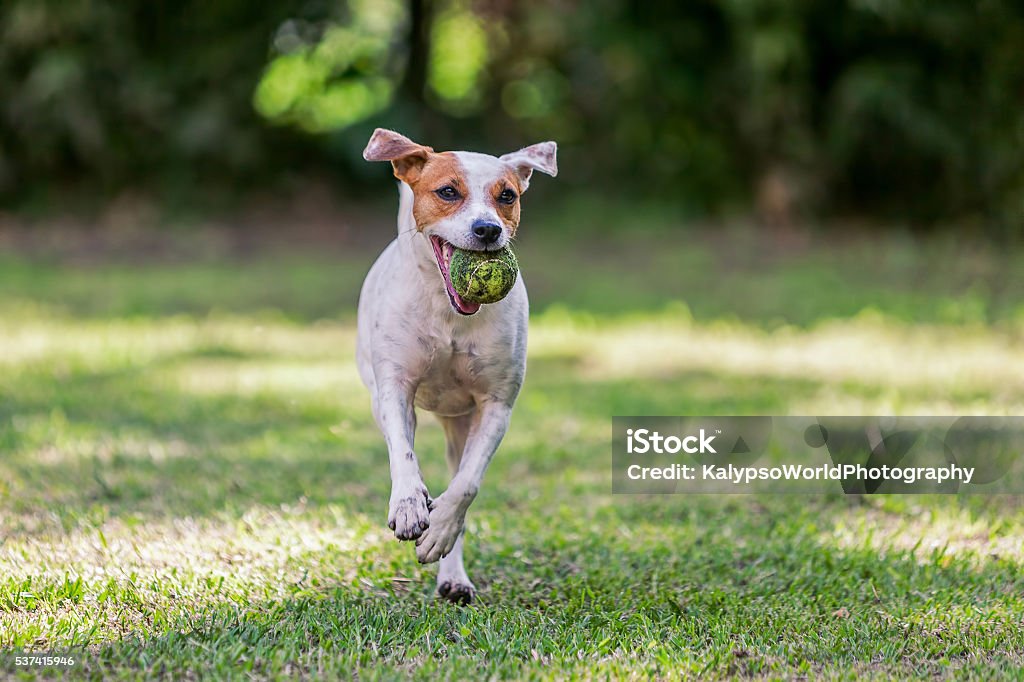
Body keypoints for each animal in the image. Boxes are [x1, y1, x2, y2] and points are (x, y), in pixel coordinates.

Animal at [356, 127, 557, 602]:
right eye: (448, 191)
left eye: (507, 196)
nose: (487, 229)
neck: (448, 313)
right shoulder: (395, 389)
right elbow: (404, 452)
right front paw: (409, 506)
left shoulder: (497, 405)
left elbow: (466, 484)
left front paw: (440, 529)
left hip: (460, 425)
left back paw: (453, 574)